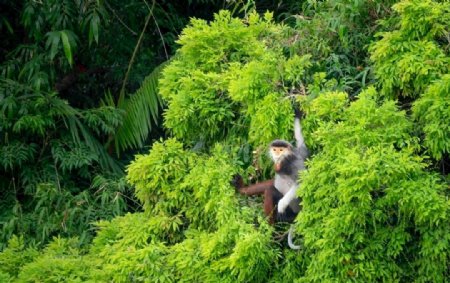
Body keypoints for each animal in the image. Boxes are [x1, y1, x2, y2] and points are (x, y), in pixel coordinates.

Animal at [232, 107, 310, 250]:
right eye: (275, 149)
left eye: (281, 150)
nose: (277, 153)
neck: (284, 161)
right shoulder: (300, 153)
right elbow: (301, 142)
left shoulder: (293, 163)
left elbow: (302, 182)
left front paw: (281, 205)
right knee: (270, 188)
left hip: (291, 214)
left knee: (271, 192)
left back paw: (271, 233)